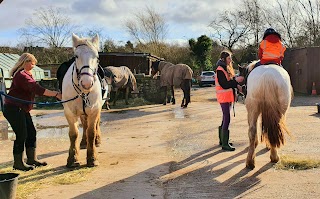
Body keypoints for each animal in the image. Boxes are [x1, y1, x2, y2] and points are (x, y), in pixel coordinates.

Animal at [62, 33, 106, 167]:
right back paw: (83, 142)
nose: (86, 83)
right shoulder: (70, 112)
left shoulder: (94, 110)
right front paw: (72, 158)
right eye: (76, 56)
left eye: (97, 56)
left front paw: (92, 157)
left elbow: (91, 132)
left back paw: (97, 140)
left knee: (95, 125)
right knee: (84, 125)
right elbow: (73, 134)